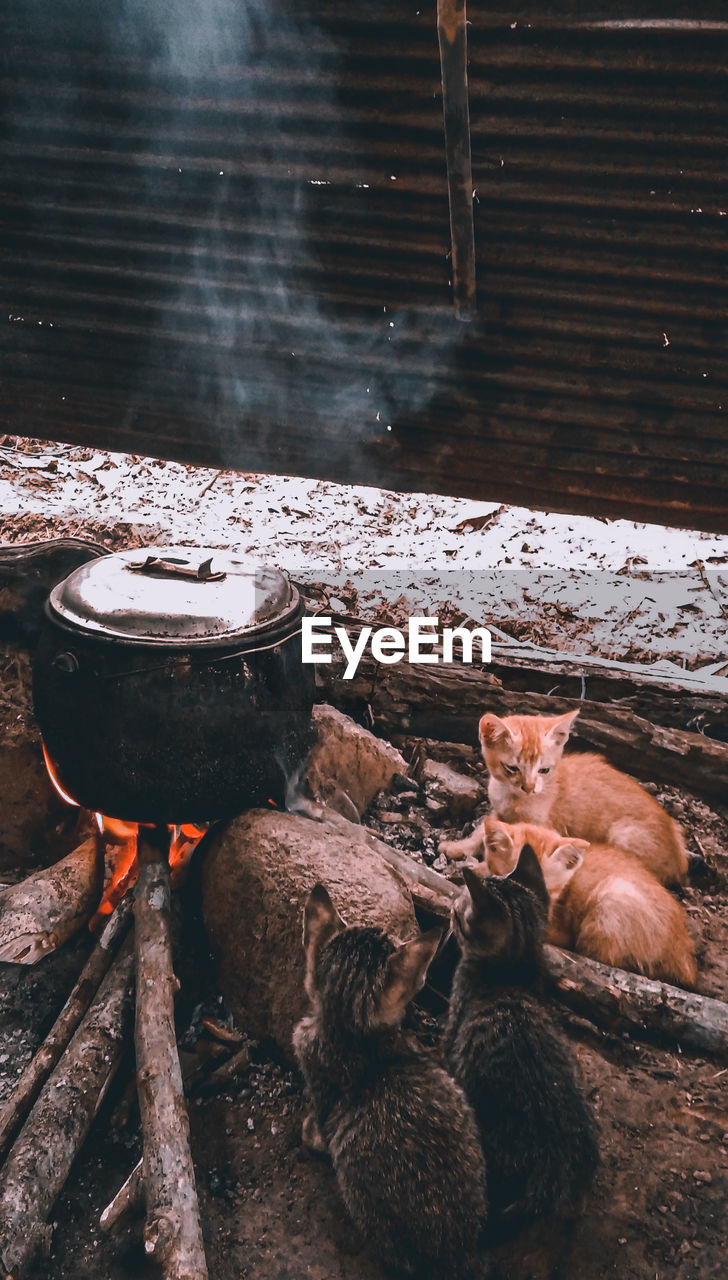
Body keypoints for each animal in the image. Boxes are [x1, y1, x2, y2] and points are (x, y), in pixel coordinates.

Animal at [437, 706, 685, 885]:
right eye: (512, 768)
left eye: (544, 770)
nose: (529, 787)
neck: (512, 798)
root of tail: (680, 861)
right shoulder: (498, 810)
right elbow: (482, 831)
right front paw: (459, 847)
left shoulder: (544, 828)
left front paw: (482, 868)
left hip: (622, 834)